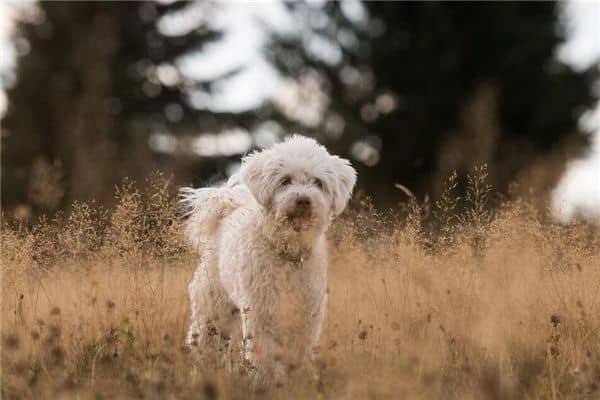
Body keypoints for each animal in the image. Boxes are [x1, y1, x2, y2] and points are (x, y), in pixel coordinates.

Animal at [180, 135, 354, 384]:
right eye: (285, 181)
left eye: (318, 182)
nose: (303, 200)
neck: (289, 255)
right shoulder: (262, 314)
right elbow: (265, 356)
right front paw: (265, 382)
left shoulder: (307, 316)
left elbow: (299, 352)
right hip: (212, 309)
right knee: (205, 346)